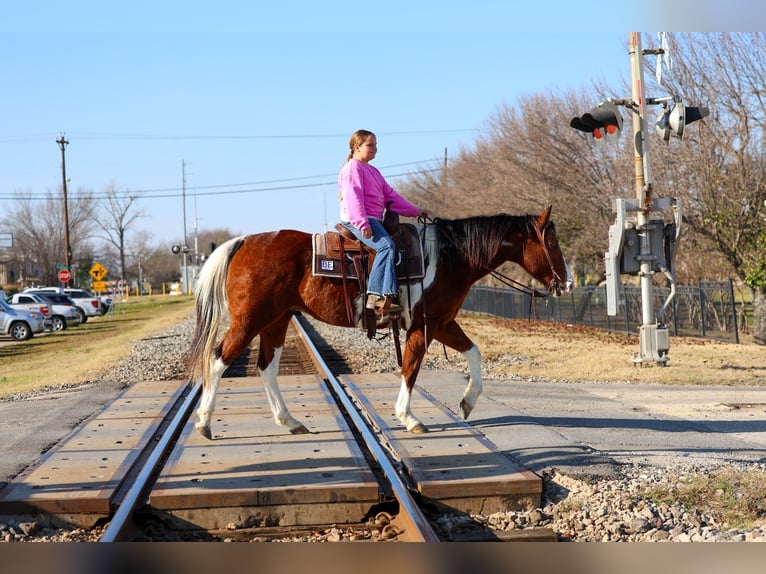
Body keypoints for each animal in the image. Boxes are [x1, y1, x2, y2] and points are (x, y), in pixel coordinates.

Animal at [188, 206, 573, 439]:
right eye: (552, 241)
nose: (568, 283)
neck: (450, 258)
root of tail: (244, 242)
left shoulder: (443, 323)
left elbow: (474, 353)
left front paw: (467, 403)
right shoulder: (424, 326)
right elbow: (411, 368)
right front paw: (408, 416)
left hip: (276, 320)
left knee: (266, 367)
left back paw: (290, 421)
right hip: (250, 320)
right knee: (219, 359)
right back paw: (204, 421)